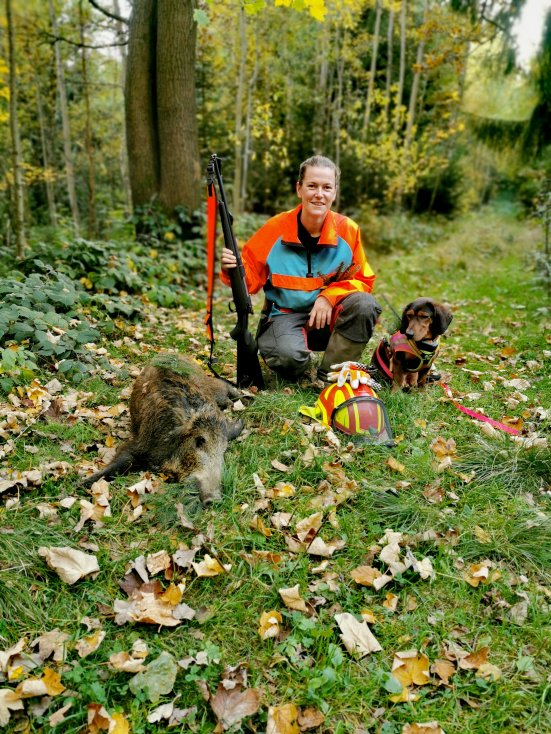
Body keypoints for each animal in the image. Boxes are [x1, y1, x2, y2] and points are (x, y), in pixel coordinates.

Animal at [82, 356, 243, 504]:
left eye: (223, 451)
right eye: (199, 441)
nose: (215, 500)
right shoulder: (140, 442)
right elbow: (121, 461)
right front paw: (80, 483)